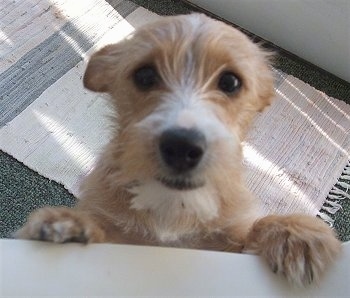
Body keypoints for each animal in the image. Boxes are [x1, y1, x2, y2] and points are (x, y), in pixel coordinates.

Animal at [15, 13, 340, 286]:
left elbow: (250, 232)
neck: (173, 208)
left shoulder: (224, 243)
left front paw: (294, 232)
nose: (182, 148)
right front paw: (69, 224)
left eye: (230, 81)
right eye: (145, 75)